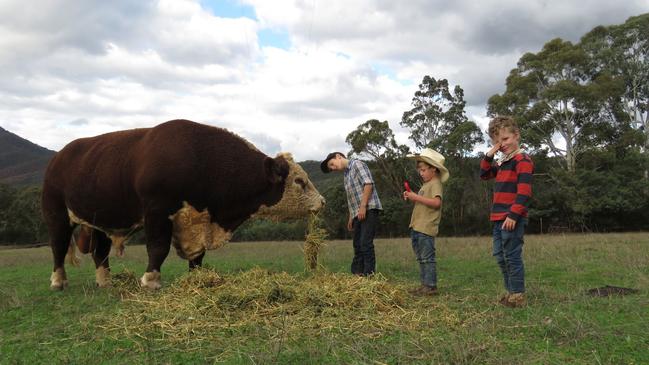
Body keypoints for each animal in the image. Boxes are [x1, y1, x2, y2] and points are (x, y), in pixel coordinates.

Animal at [41, 119, 324, 290]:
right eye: (299, 181)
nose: (321, 202)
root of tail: (60, 156)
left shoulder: (199, 222)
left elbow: (198, 256)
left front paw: (198, 279)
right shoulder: (157, 212)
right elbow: (158, 248)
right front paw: (151, 281)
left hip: (99, 221)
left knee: (100, 252)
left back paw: (105, 282)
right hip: (56, 214)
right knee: (58, 247)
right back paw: (58, 281)